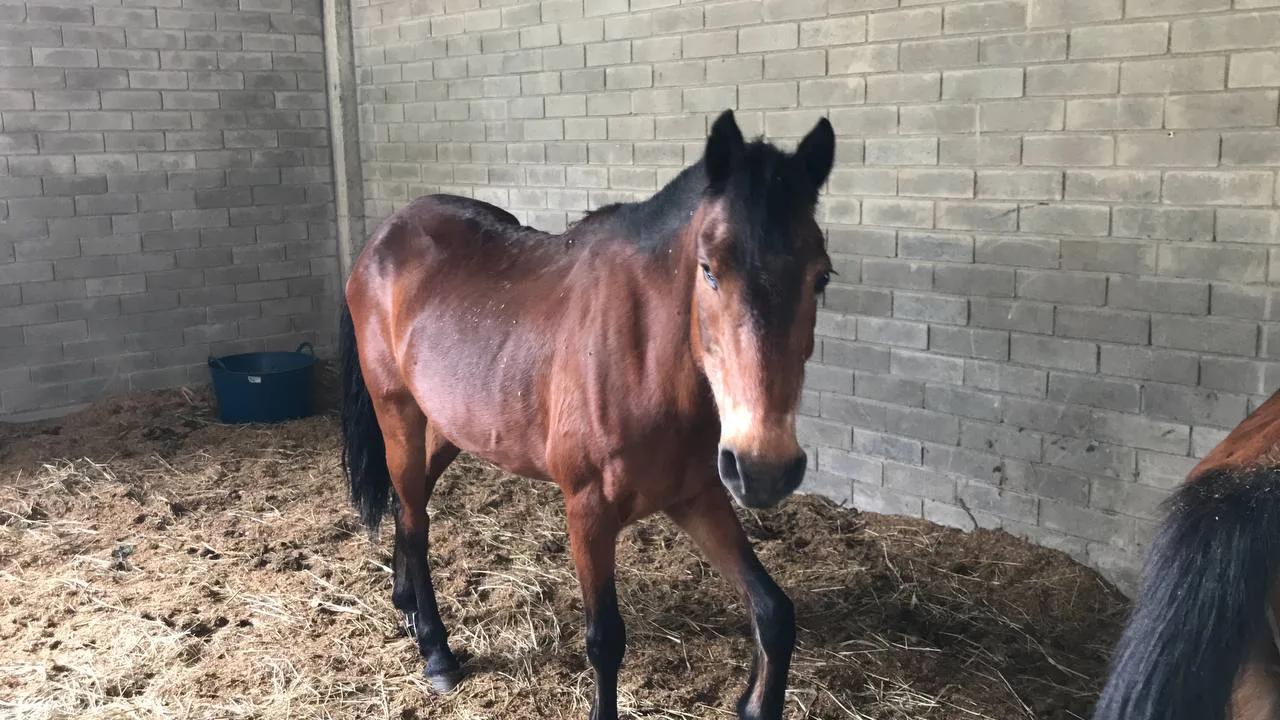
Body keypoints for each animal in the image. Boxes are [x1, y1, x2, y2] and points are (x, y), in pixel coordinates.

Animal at [337, 108, 836, 720]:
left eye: (821, 276)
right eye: (708, 269)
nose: (763, 469)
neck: (647, 358)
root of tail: (381, 240)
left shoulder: (697, 495)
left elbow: (773, 611)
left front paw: (754, 700)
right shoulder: (588, 510)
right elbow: (605, 641)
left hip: (453, 425)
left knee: (411, 506)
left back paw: (405, 605)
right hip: (399, 414)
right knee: (413, 517)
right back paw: (436, 650)